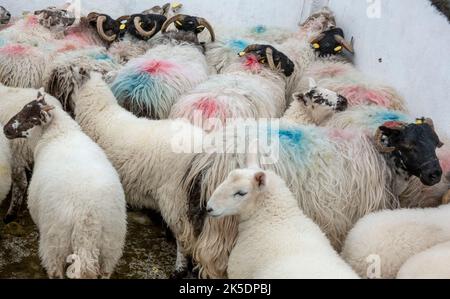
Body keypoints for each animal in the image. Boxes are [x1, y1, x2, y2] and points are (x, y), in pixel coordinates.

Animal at [3, 91, 126, 278]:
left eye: (33, 119)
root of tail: (88, 220)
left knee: (55, 270)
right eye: (23, 108)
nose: (6, 129)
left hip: (55, 244)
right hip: (110, 249)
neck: (60, 133)